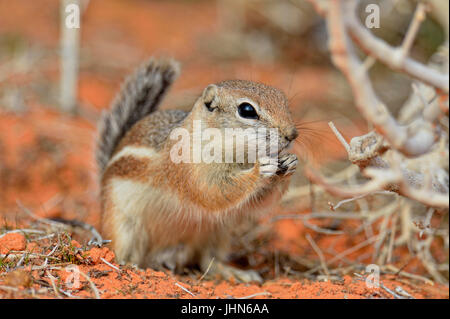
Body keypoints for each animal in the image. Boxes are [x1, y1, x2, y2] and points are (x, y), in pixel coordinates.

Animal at [96, 57, 298, 282]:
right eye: (247, 110)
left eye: (283, 101)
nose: (292, 134)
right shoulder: (190, 171)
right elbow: (213, 192)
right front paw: (260, 169)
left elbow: (254, 203)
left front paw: (289, 162)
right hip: (123, 224)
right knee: (121, 249)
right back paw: (129, 265)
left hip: (216, 232)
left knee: (208, 261)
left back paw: (234, 272)